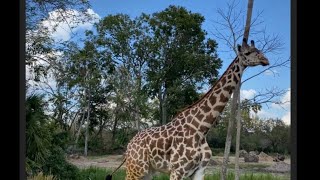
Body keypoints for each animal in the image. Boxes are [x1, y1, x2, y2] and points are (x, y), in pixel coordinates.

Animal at [105, 38, 268, 180]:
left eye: (259, 50)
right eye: (247, 53)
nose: (265, 60)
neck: (202, 129)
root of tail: (129, 145)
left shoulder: (200, 170)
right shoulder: (177, 170)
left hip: (148, 171)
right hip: (136, 168)